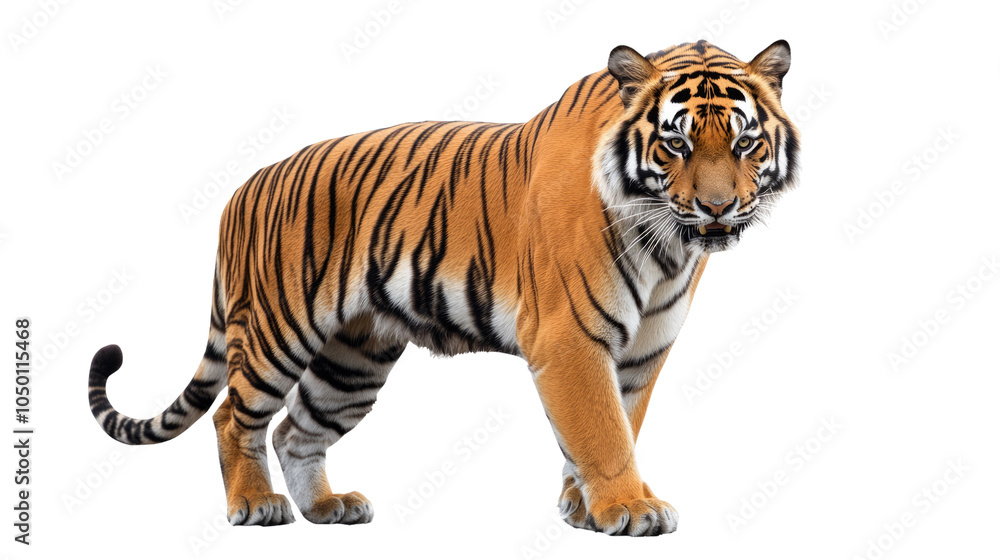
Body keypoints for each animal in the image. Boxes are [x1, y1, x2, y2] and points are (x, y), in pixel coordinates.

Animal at [88, 39, 799, 537]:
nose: (716, 208)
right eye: (676, 144)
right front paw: (629, 509)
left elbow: (614, 425)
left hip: (353, 360)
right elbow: (602, 430)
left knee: (296, 430)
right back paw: (255, 505)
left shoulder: (642, 351)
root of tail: (243, 187)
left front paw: (582, 508)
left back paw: (327, 508)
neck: (666, 245)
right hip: (276, 330)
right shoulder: (571, 339)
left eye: (745, 143)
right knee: (234, 415)